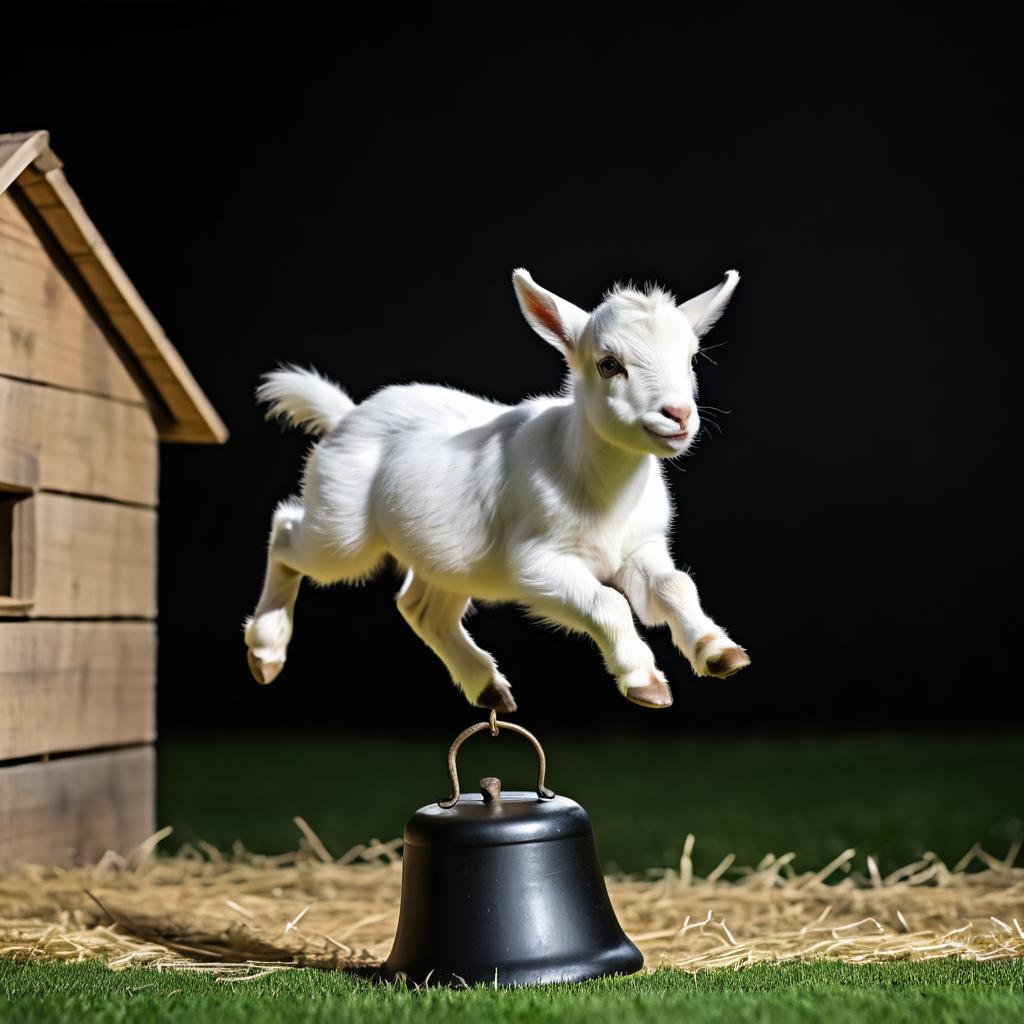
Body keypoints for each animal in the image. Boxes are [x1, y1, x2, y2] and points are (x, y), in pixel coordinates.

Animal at [243, 268, 749, 712]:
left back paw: (487, 688)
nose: (679, 414)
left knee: (421, 607)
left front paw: (719, 652)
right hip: (342, 528)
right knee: (287, 532)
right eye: (609, 365)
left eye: (691, 358)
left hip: (448, 559)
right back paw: (266, 650)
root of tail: (345, 416)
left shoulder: (640, 546)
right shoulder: (534, 564)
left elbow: (674, 585)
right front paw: (645, 682)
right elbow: (607, 602)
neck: (604, 490)